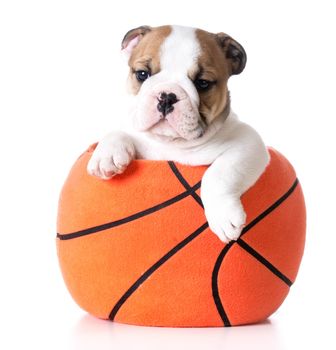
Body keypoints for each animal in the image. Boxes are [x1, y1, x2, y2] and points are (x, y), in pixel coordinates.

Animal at [87, 25, 270, 243]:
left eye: (203, 83)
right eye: (142, 74)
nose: (167, 96)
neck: (172, 144)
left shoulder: (248, 143)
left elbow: (219, 174)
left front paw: (223, 216)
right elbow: (120, 132)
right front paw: (106, 155)